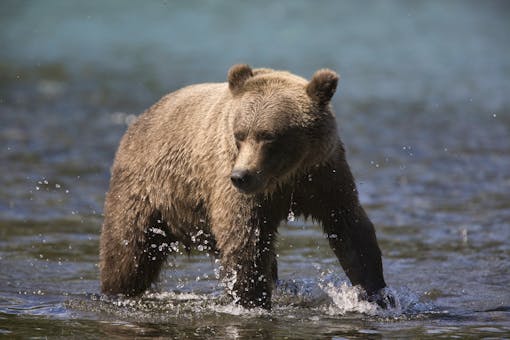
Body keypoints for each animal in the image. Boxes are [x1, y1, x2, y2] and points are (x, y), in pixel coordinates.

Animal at [98, 63, 386, 308]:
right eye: (240, 134)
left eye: (269, 136)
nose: (241, 176)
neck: (284, 176)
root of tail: (138, 121)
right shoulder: (236, 185)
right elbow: (245, 240)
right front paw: (252, 301)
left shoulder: (323, 176)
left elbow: (350, 229)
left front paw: (377, 296)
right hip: (146, 191)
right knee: (127, 253)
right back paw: (116, 290)